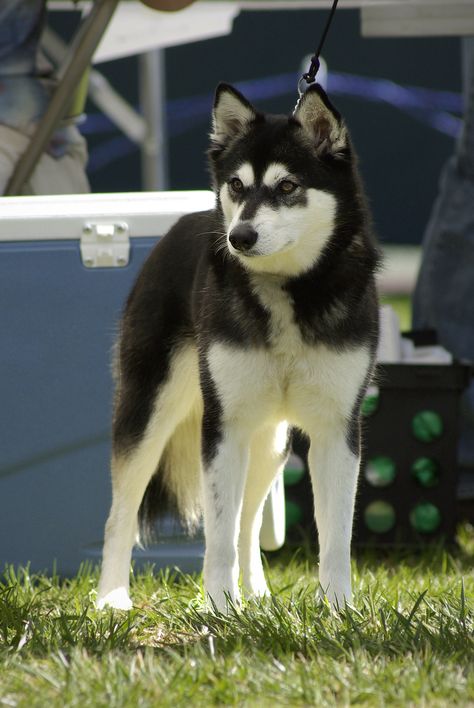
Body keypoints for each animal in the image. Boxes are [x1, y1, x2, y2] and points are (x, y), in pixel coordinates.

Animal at [98, 83, 380, 612]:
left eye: (287, 187)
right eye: (236, 185)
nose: (239, 237)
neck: (287, 289)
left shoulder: (336, 429)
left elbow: (335, 538)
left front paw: (338, 610)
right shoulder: (223, 427)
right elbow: (218, 535)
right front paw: (220, 610)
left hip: (270, 441)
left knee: (249, 524)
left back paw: (259, 595)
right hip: (150, 414)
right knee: (121, 513)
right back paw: (111, 597)